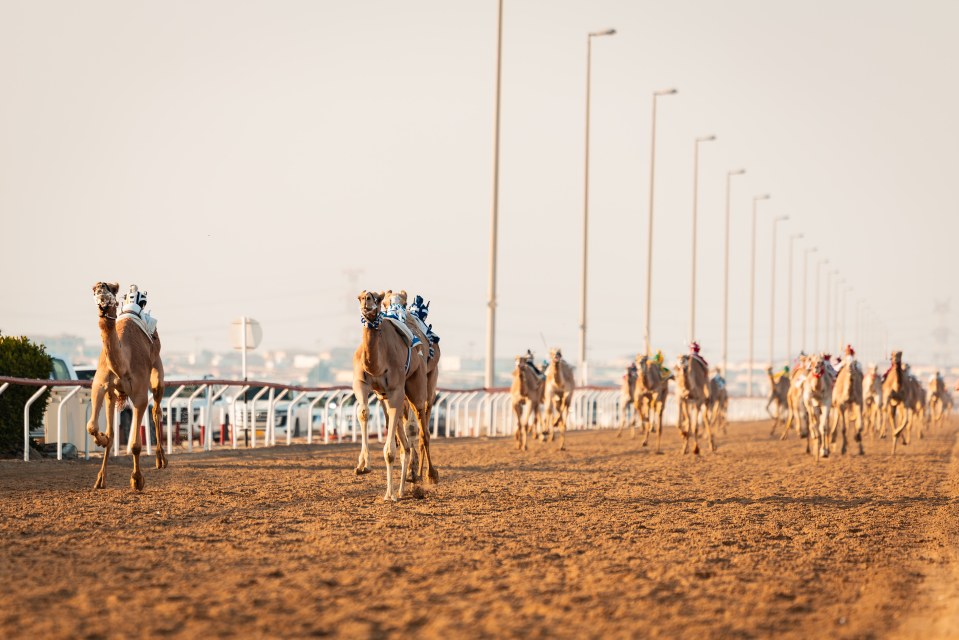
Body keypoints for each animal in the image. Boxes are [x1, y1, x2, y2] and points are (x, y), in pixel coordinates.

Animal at [86, 282, 165, 491]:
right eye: (95, 293)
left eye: (110, 294)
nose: (102, 305)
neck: (122, 363)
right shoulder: (100, 386)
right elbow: (93, 427)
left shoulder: (139, 394)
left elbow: (136, 445)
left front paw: (137, 480)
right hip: (113, 395)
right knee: (113, 430)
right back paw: (101, 478)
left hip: (157, 373)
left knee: (156, 410)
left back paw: (161, 459)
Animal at [352, 290, 437, 501]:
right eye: (360, 296)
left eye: (376, 297)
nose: (366, 300)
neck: (377, 362)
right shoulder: (361, 383)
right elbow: (363, 413)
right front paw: (363, 465)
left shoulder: (396, 390)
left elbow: (391, 449)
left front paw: (390, 494)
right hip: (388, 397)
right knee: (405, 439)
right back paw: (403, 487)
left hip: (418, 386)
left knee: (422, 429)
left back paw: (429, 475)